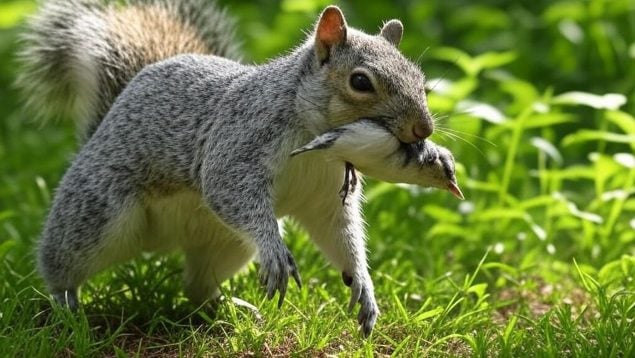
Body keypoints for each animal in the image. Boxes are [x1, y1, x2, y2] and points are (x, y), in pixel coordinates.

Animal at [17, 0, 458, 338]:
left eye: (421, 80)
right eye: (361, 82)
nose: (423, 129)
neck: (316, 143)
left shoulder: (326, 195)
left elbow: (339, 233)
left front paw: (363, 285)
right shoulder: (239, 141)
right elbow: (226, 186)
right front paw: (275, 251)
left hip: (226, 244)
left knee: (197, 287)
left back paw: (229, 308)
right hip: (98, 213)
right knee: (63, 262)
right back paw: (65, 306)